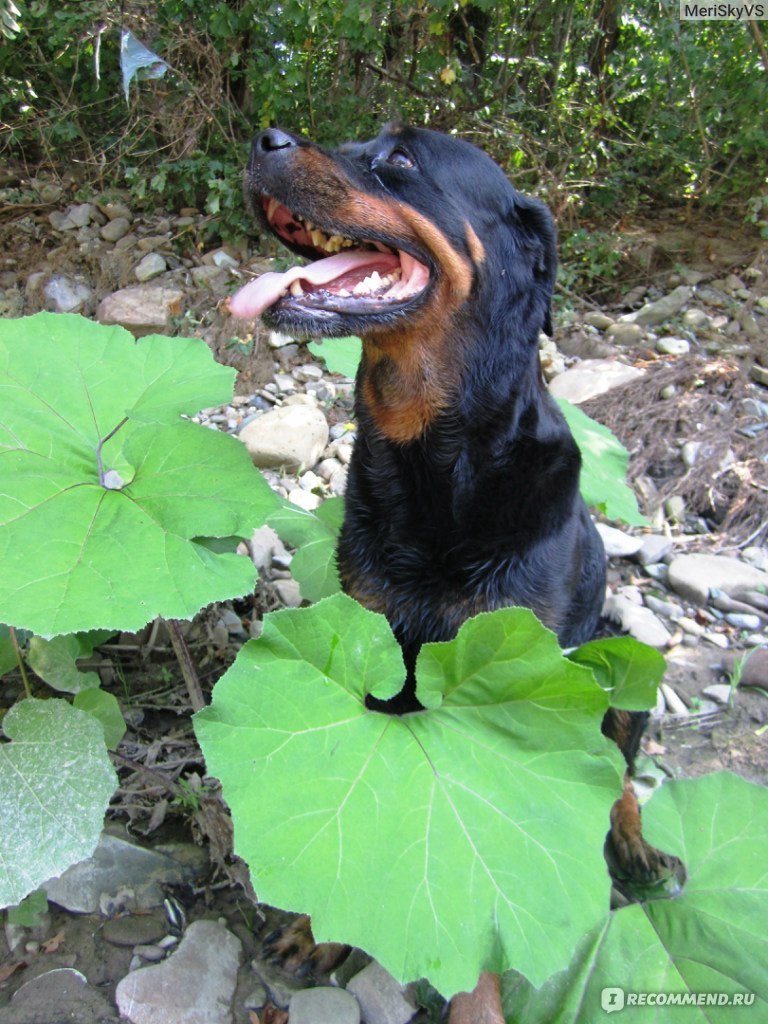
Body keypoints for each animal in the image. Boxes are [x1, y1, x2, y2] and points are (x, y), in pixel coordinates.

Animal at [231, 123, 675, 1019]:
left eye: (401, 159)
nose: (266, 137)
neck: (435, 458)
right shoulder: (370, 638)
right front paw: (317, 929)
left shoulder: (521, 674)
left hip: (618, 652)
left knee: (619, 775)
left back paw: (638, 851)